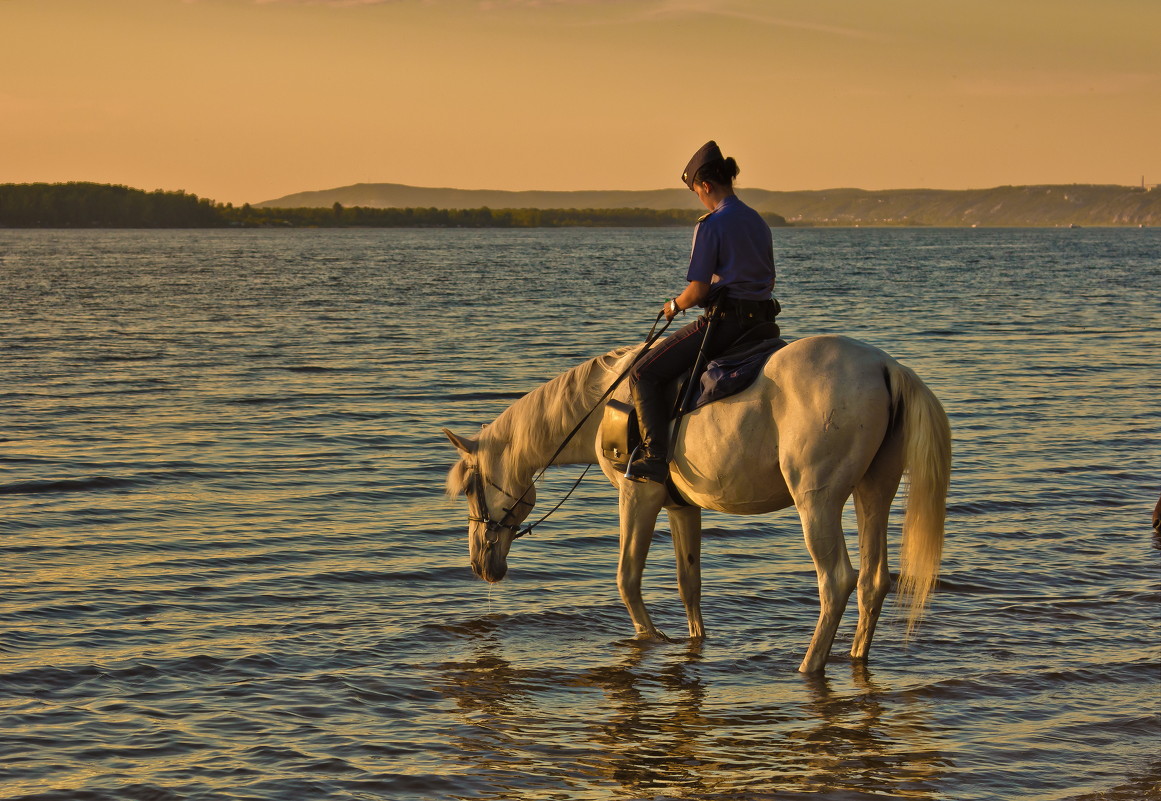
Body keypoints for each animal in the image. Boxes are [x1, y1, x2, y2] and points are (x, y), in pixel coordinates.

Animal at [443, 334, 952, 668]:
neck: (605, 404)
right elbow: (690, 583)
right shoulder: (681, 506)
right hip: (874, 493)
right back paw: (855, 657)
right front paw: (694, 640)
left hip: (818, 502)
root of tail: (885, 368)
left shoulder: (638, 494)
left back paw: (809, 665)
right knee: (873, 581)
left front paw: (652, 638)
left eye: (469, 487)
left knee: (837, 581)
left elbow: (627, 579)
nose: (480, 565)